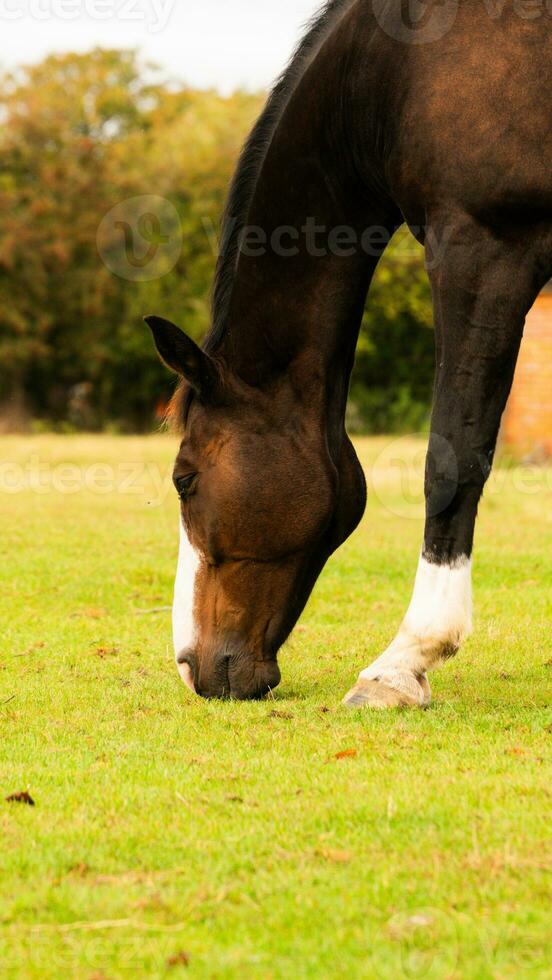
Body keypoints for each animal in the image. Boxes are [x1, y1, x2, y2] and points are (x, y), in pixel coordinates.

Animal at [146, 0, 552, 704]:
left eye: (183, 480)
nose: (191, 666)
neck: (394, 70)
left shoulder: (483, 247)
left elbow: (452, 458)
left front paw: (403, 661)